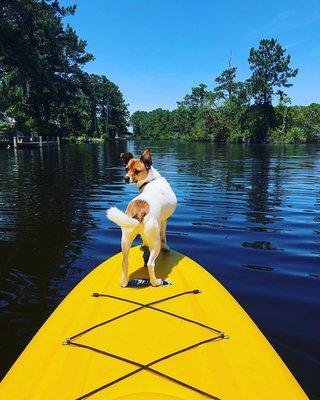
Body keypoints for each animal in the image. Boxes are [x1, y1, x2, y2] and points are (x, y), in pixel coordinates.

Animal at [107, 148, 178, 286]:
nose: (125, 178)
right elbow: (164, 236)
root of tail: (138, 211)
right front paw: (166, 247)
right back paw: (156, 282)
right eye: (126, 169)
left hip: (125, 239)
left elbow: (143, 239)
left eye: (136, 171)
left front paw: (144, 244)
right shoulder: (164, 221)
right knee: (151, 263)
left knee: (124, 261)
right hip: (155, 243)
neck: (151, 180)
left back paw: (124, 283)